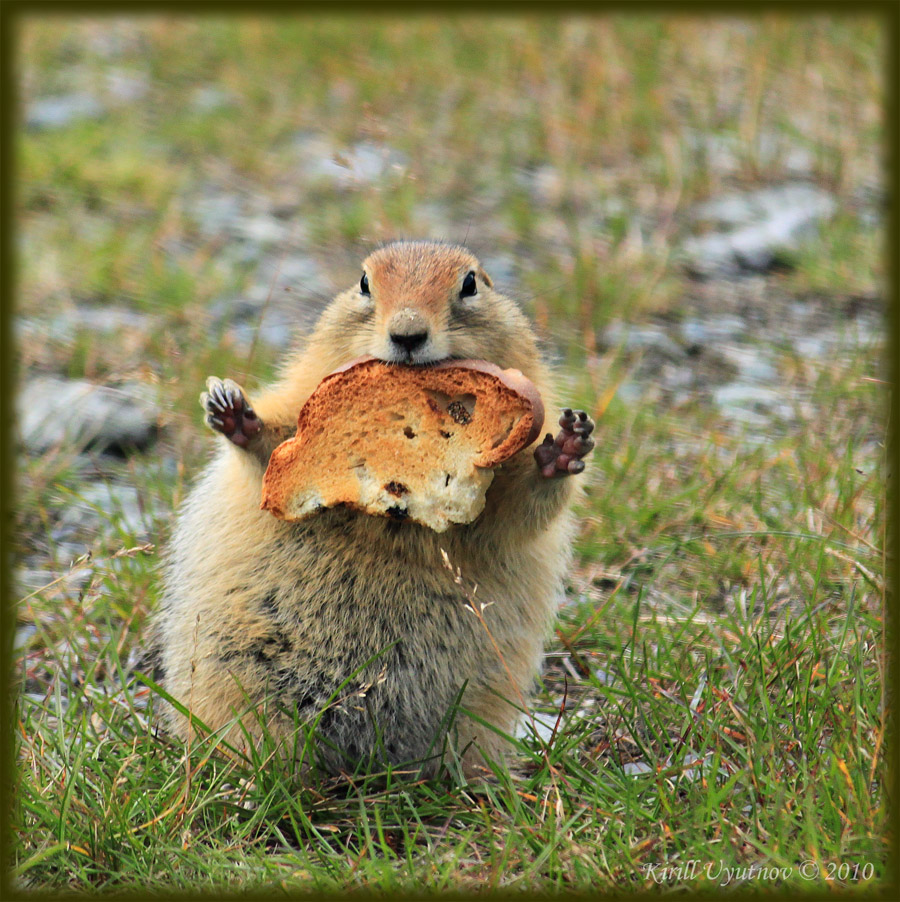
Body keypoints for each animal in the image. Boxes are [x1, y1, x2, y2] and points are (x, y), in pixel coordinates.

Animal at [155, 240, 596, 776]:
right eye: (364, 283)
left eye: (471, 283)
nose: (407, 333)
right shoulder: (301, 403)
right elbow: (273, 445)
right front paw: (233, 410)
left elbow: (517, 511)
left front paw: (564, 448)